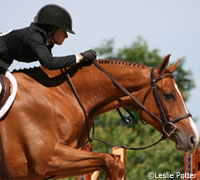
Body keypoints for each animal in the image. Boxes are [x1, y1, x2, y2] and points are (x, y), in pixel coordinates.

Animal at [0, 54, 198, 179]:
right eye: (169, 95)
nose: (193, 138)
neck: (62, 95)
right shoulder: (47, 160)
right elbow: (112, 161)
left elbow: (112, 161)